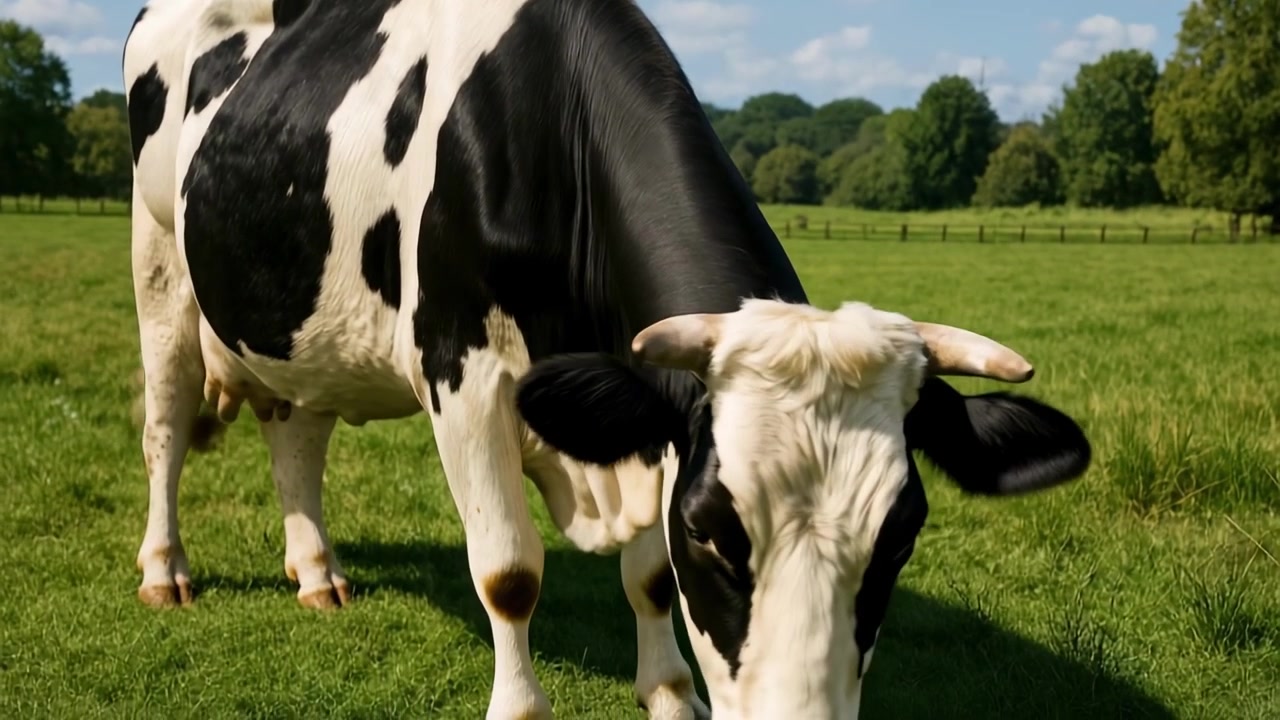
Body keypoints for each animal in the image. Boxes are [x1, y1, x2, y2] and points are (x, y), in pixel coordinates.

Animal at [122, 1, 1092, 718]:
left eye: (901, 535)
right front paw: (519, 707)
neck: (552, 123)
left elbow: (648, 578)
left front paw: (666, 693)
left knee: (296, 433)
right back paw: (165, 571)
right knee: (165, 425)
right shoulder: (462, 373)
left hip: (296, 321)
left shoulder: (651, 410)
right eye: (711, 529)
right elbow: (509, 573)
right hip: (159, 263)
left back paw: (317, 573)